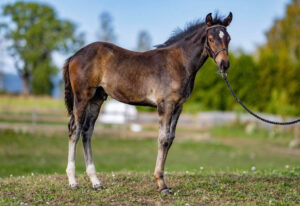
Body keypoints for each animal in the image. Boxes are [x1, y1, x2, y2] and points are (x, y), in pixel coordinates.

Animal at [62, 12, 232, 193]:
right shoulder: (165, 105)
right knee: (75, 130)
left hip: (96, 99)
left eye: (228, 38)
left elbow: (170, 138)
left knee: (87, 132)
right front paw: (161, 184)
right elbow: (163, 139)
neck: (179, 62)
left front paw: (161, 181)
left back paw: (96, 182)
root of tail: (74, 56)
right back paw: (73, 181)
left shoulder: (178, 106)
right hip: (82, 97)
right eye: (211, 38)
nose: (224, 64)